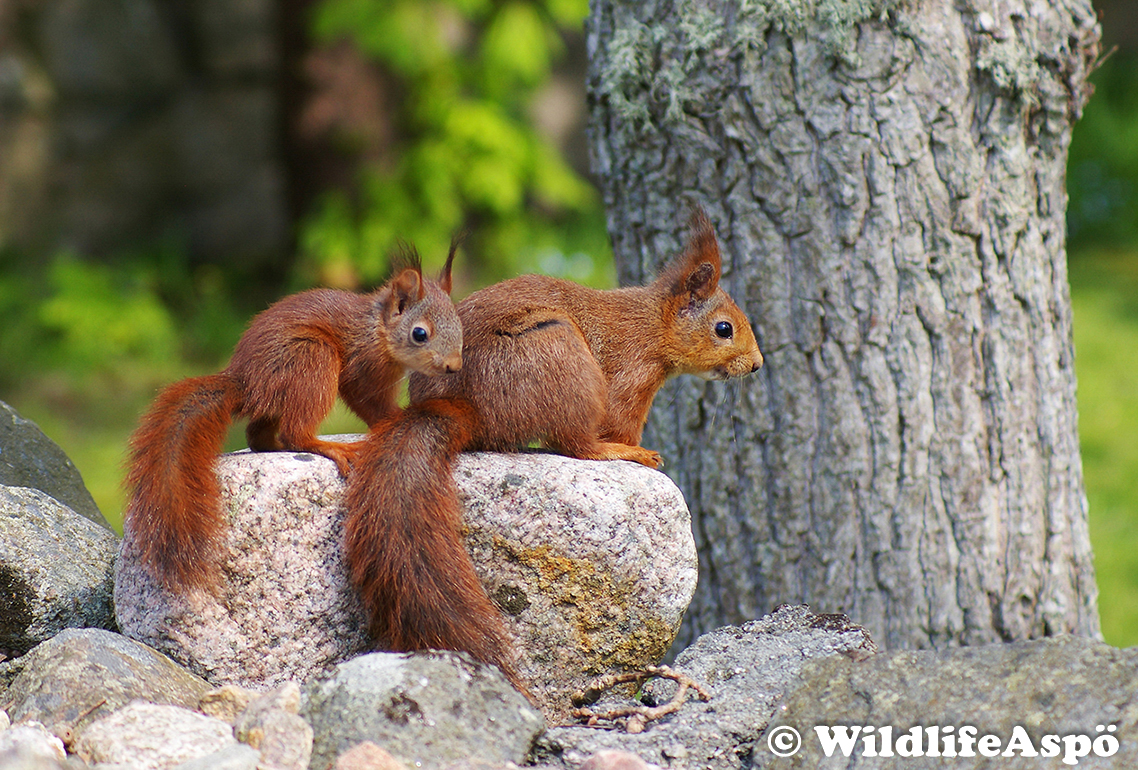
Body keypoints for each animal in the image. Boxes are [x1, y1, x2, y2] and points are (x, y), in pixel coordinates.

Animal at [124, 245, 463, 593]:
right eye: (419, 334)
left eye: (459, 324)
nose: (454, 366)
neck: (378, 330)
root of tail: (245, 381)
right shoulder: (363, 369)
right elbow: (370, 404)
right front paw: (398, 418)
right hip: (312, 360)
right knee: (295, 433)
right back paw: (331, 448)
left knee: (257, 434)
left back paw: (275, 447)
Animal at [343, 209, 763, 686]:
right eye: (724, 329)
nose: (757, 365)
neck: (653, 324)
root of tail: (463, 405)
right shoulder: (631, 378)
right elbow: (619, 423)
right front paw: (636, 449)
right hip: (559, 357)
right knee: (576, 444)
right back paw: (620, 454)